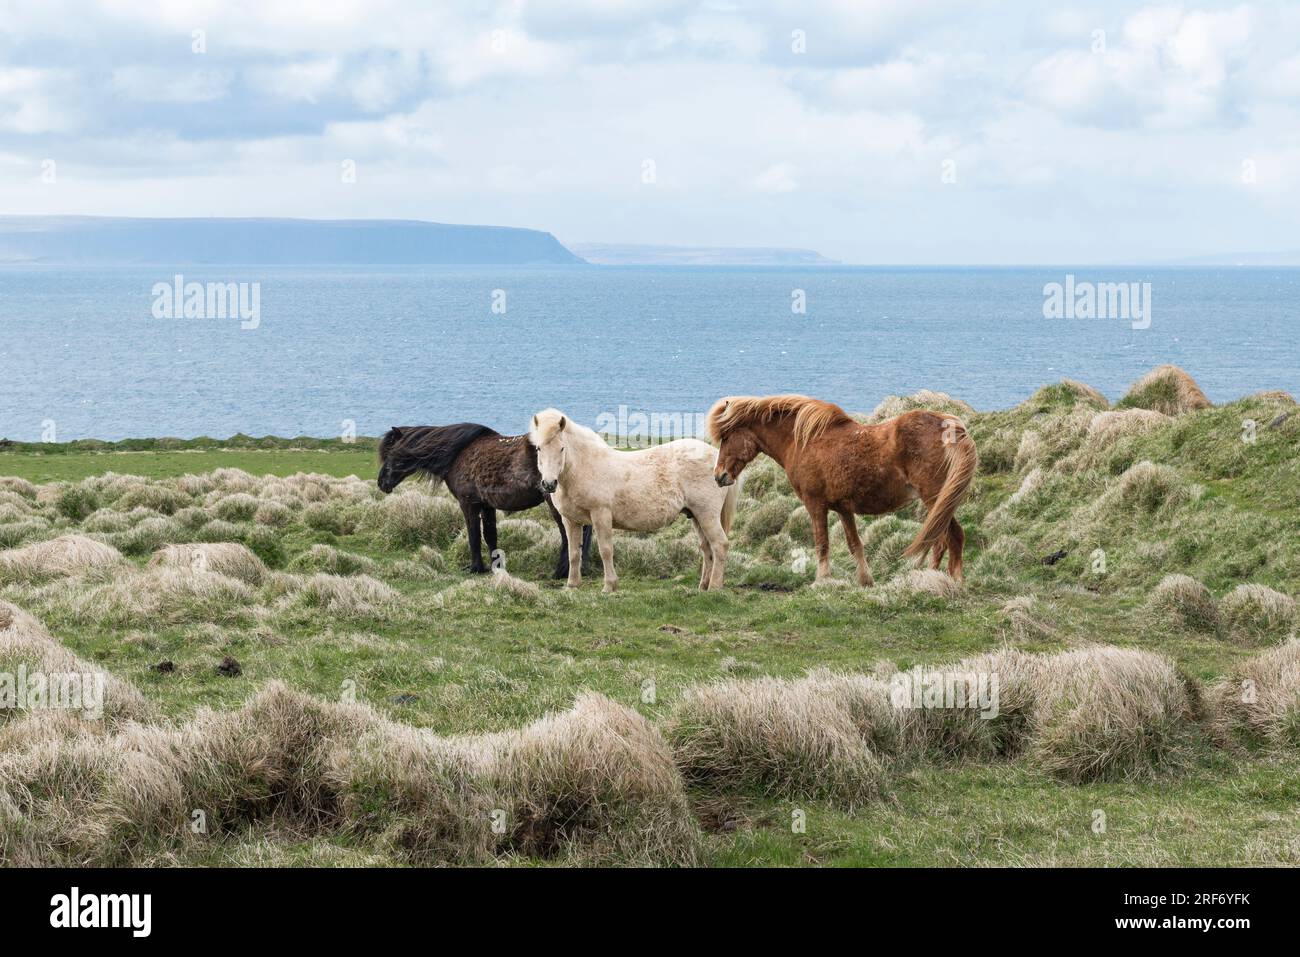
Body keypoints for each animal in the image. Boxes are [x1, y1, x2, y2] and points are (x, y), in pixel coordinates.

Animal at [379, 423, 592, 574]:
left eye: (390, 453)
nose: (382, 483)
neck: (457, 454)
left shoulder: (468, 504)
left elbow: (473, 535)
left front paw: (475, 568)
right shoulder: (487, 505)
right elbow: (490, 536)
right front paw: (495, 566)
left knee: (570, 533)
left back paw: (561, 572)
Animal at [525, 408, 733, 590]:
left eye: (561, 448)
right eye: (538, 448)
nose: (549, 483)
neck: (584, 467)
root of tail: (717, 460)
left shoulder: (601, 515)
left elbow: (605, 550)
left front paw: (609, 586)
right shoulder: (570, 520)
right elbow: (574, 553)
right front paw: (572, 585)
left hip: (707, 514)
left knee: (719, 545)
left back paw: (714, 587)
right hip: (696, 516)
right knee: (707, 548)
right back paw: (703, 586)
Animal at [712, 395, 977, 582]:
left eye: (726, 437)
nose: (719, 476)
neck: (803, 441)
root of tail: (951, 427)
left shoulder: (815, 504)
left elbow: (822, 543)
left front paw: (821, 581)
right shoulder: (843, 508)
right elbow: (855, 544)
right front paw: (865, 581)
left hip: (934, 498)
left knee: (952, 537)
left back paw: (952, 583)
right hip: (939, 503)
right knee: (941, 541)